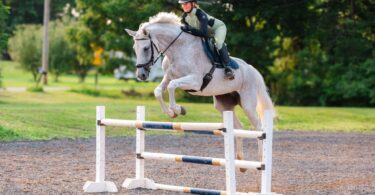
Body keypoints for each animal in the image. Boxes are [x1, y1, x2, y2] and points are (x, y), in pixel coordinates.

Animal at [125, 12, 274, 168]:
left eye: (146, 48)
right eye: (135, 48)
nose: (141, 75)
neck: (178, 49)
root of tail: (252, 69)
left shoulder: (195, 82)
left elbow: (172, 86)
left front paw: (178, 109)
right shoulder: (168, 76)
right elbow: (159, 91)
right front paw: (171, 113)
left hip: (247, 103)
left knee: (259, 128)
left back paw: (260, 159)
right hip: (223, 105)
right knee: (238, 126)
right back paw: (240, 162)